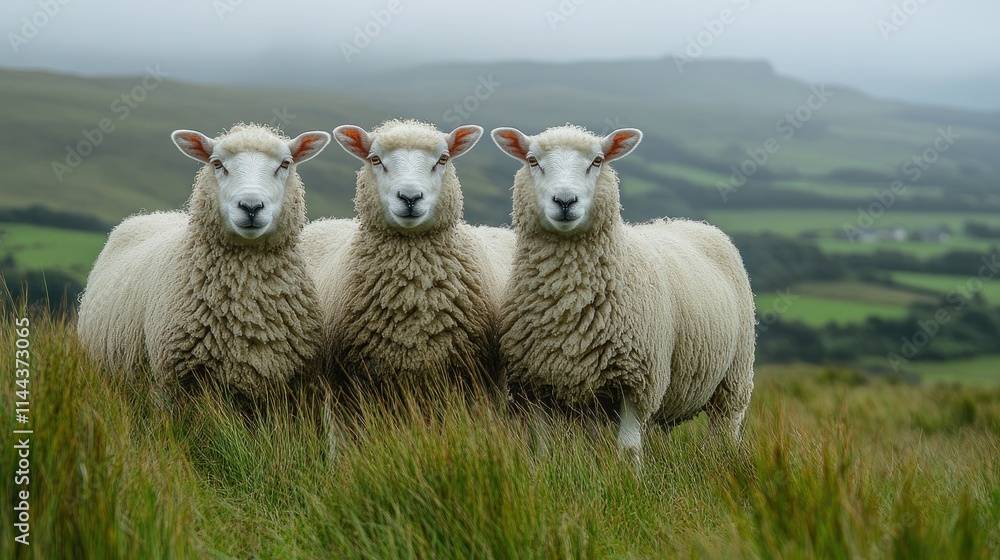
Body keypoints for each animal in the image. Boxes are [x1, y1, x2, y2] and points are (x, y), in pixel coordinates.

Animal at [491, 124, 756, 465]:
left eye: (598, 161)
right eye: (532, 161)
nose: (565, 201)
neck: (569, 302)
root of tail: (692, 223)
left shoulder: (638, 382)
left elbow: (628, 448)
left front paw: (632, 477)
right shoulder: (535, 384)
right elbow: (543, 449)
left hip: (735, 374)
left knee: (725, 427)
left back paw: (724, 460)